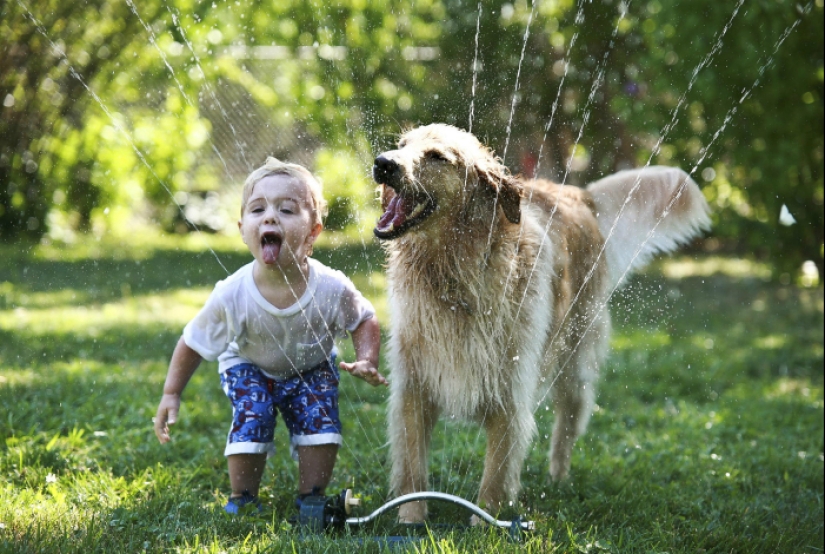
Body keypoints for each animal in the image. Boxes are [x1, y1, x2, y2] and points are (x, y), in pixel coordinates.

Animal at [374, 123, 708, 520]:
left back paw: (558, 478)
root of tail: (578, 194)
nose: (382, 162)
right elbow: (413, 464)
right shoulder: (413, 385)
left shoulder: (510, 387)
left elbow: (497, 469)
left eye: (437, 156)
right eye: (402, 145)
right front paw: (411, 517)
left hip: (575, 359)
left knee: (568, 424)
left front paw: (486, 520)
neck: (455, 273)